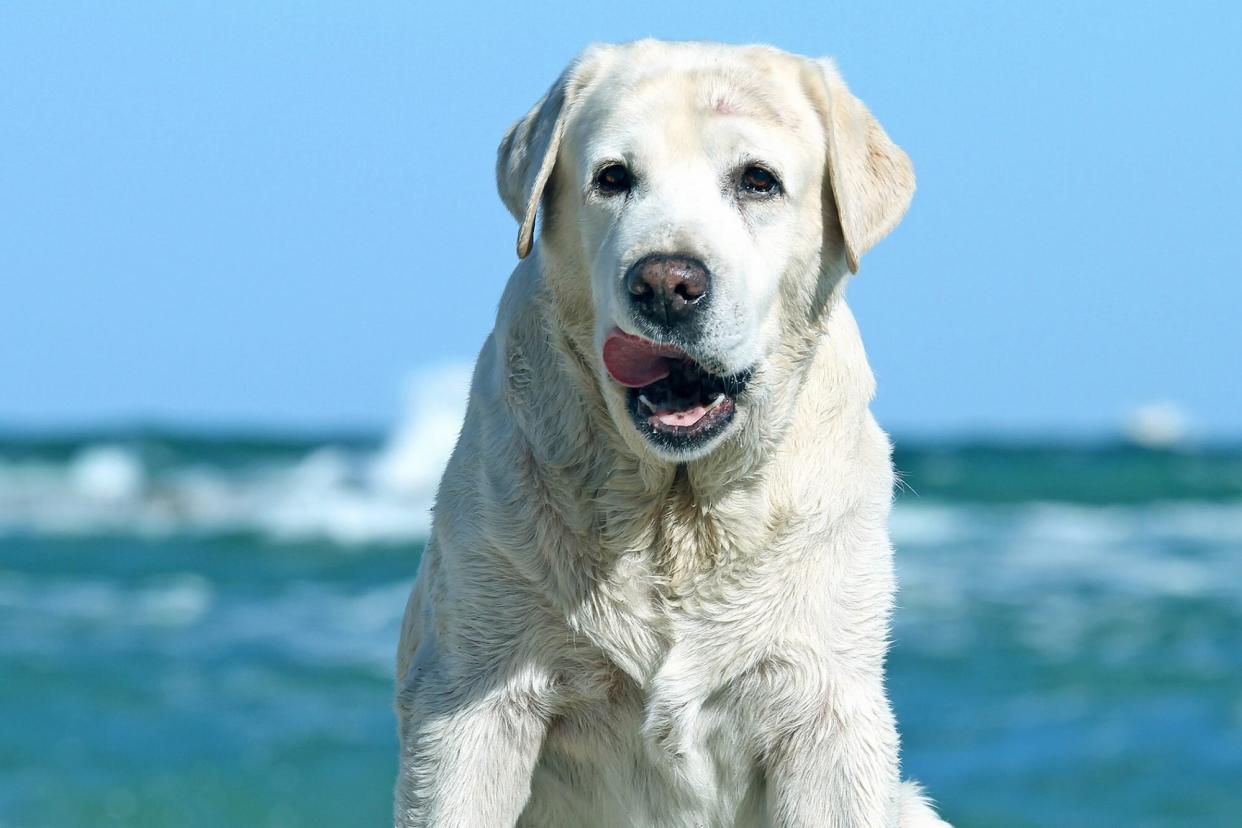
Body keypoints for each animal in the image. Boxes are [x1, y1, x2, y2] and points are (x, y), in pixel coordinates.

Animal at [397, 40, 948, 828]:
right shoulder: (473, 699)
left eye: (758, 181)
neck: (671, 512)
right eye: (612, 177)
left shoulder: (825, 707)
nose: (664, 284)